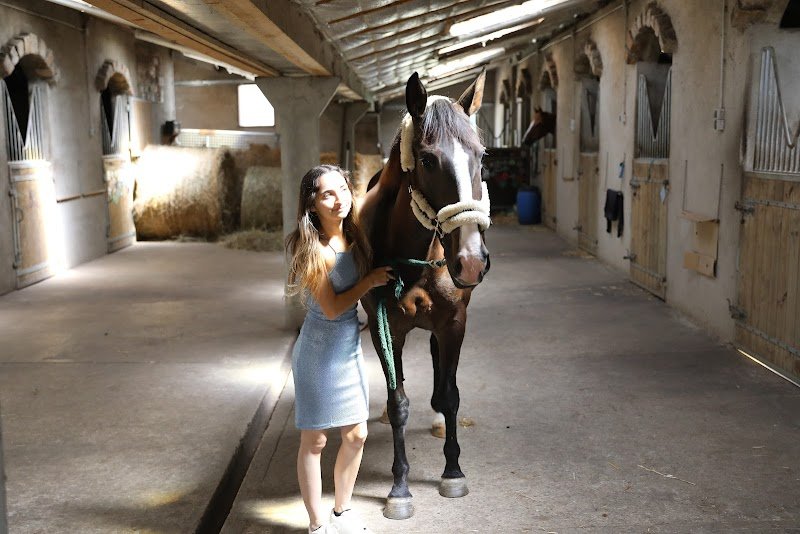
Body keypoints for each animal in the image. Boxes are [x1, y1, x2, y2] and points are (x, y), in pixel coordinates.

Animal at [359, 70, 491, 520]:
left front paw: (453, 471)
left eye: (481, 156)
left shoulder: (454, 323)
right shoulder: (387, 329)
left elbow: (451, 396)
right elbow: (398, 403)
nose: (470, 261)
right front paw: (400, 488)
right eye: (429, 160)